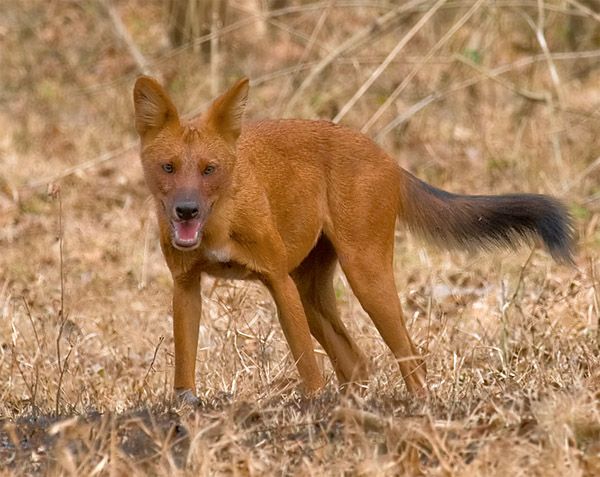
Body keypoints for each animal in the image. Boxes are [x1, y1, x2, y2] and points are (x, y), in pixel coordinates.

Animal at [134, 76, 576, 404]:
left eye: (210, 169)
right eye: (168, 167)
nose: (186, 210)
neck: (219, 224)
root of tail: (388, 157)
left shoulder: (276, 278)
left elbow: (308, 366)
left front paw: (311, 408)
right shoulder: (186, 283)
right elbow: (184, 363)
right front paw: (185, 411)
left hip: (364, 274)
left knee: (411, 358)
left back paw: (417, 410)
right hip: (310, 290)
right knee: (358, 362)